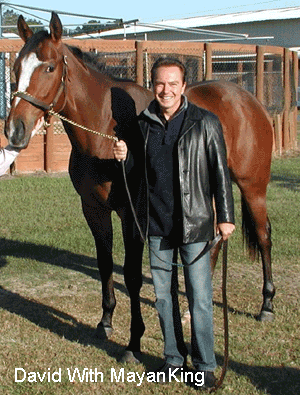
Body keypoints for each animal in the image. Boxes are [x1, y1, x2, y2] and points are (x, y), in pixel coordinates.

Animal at [5, 12, 276, 364]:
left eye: (49, 67)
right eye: (16, 67)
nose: (15, 130)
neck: (107, 129)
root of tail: (249, 100)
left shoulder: (132, 215)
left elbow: (132, 275)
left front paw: (134, 343)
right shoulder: (94, 209)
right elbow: (105, 264)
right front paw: (105, 321)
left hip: (252, 187)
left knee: (263, 235)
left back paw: (266, 305)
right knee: (213, 241)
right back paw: (191, 309)